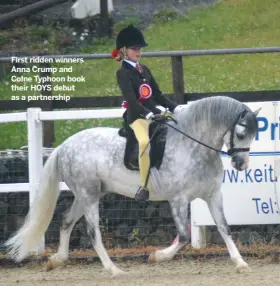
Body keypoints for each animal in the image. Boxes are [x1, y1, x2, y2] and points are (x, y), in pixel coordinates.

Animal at [4, 96, 260, 278]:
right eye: (240, 133)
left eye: (254, 135)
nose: (240, 164)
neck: (193, 146)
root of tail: (64, 146)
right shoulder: (178, 199)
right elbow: (184, 236)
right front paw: (157, 256)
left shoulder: (213, 196)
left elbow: (225, 228)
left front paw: (241, 263)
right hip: (88, 195)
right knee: (92, 232)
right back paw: (114, 270)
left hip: (85, 194)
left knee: (66, 221)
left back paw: (56, 260)